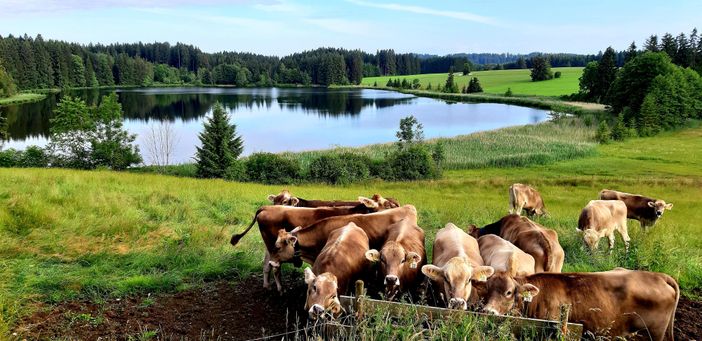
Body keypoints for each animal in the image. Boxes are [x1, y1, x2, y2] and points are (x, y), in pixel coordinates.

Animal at [232, 198, 390, 290]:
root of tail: (266, 207)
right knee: (275, 267)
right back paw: (280, 289)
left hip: (269, 246)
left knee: (267, 264)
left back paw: (267, 285)